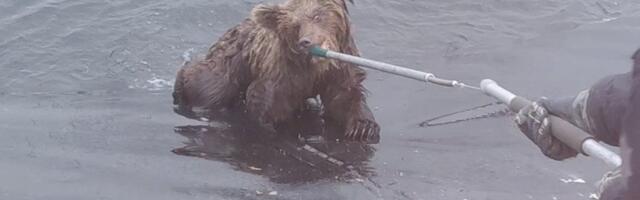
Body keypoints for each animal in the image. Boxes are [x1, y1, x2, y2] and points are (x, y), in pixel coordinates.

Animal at [171, 0, 380, 144]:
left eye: (317, 16)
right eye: (295, 26)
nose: (306, 42)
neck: (315, 65)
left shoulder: (338, 69)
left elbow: (344, 96)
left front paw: (364, 128)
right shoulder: (280, 74)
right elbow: (268, 105)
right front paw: (277, 129)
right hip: (226, 69)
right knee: (207, 87)